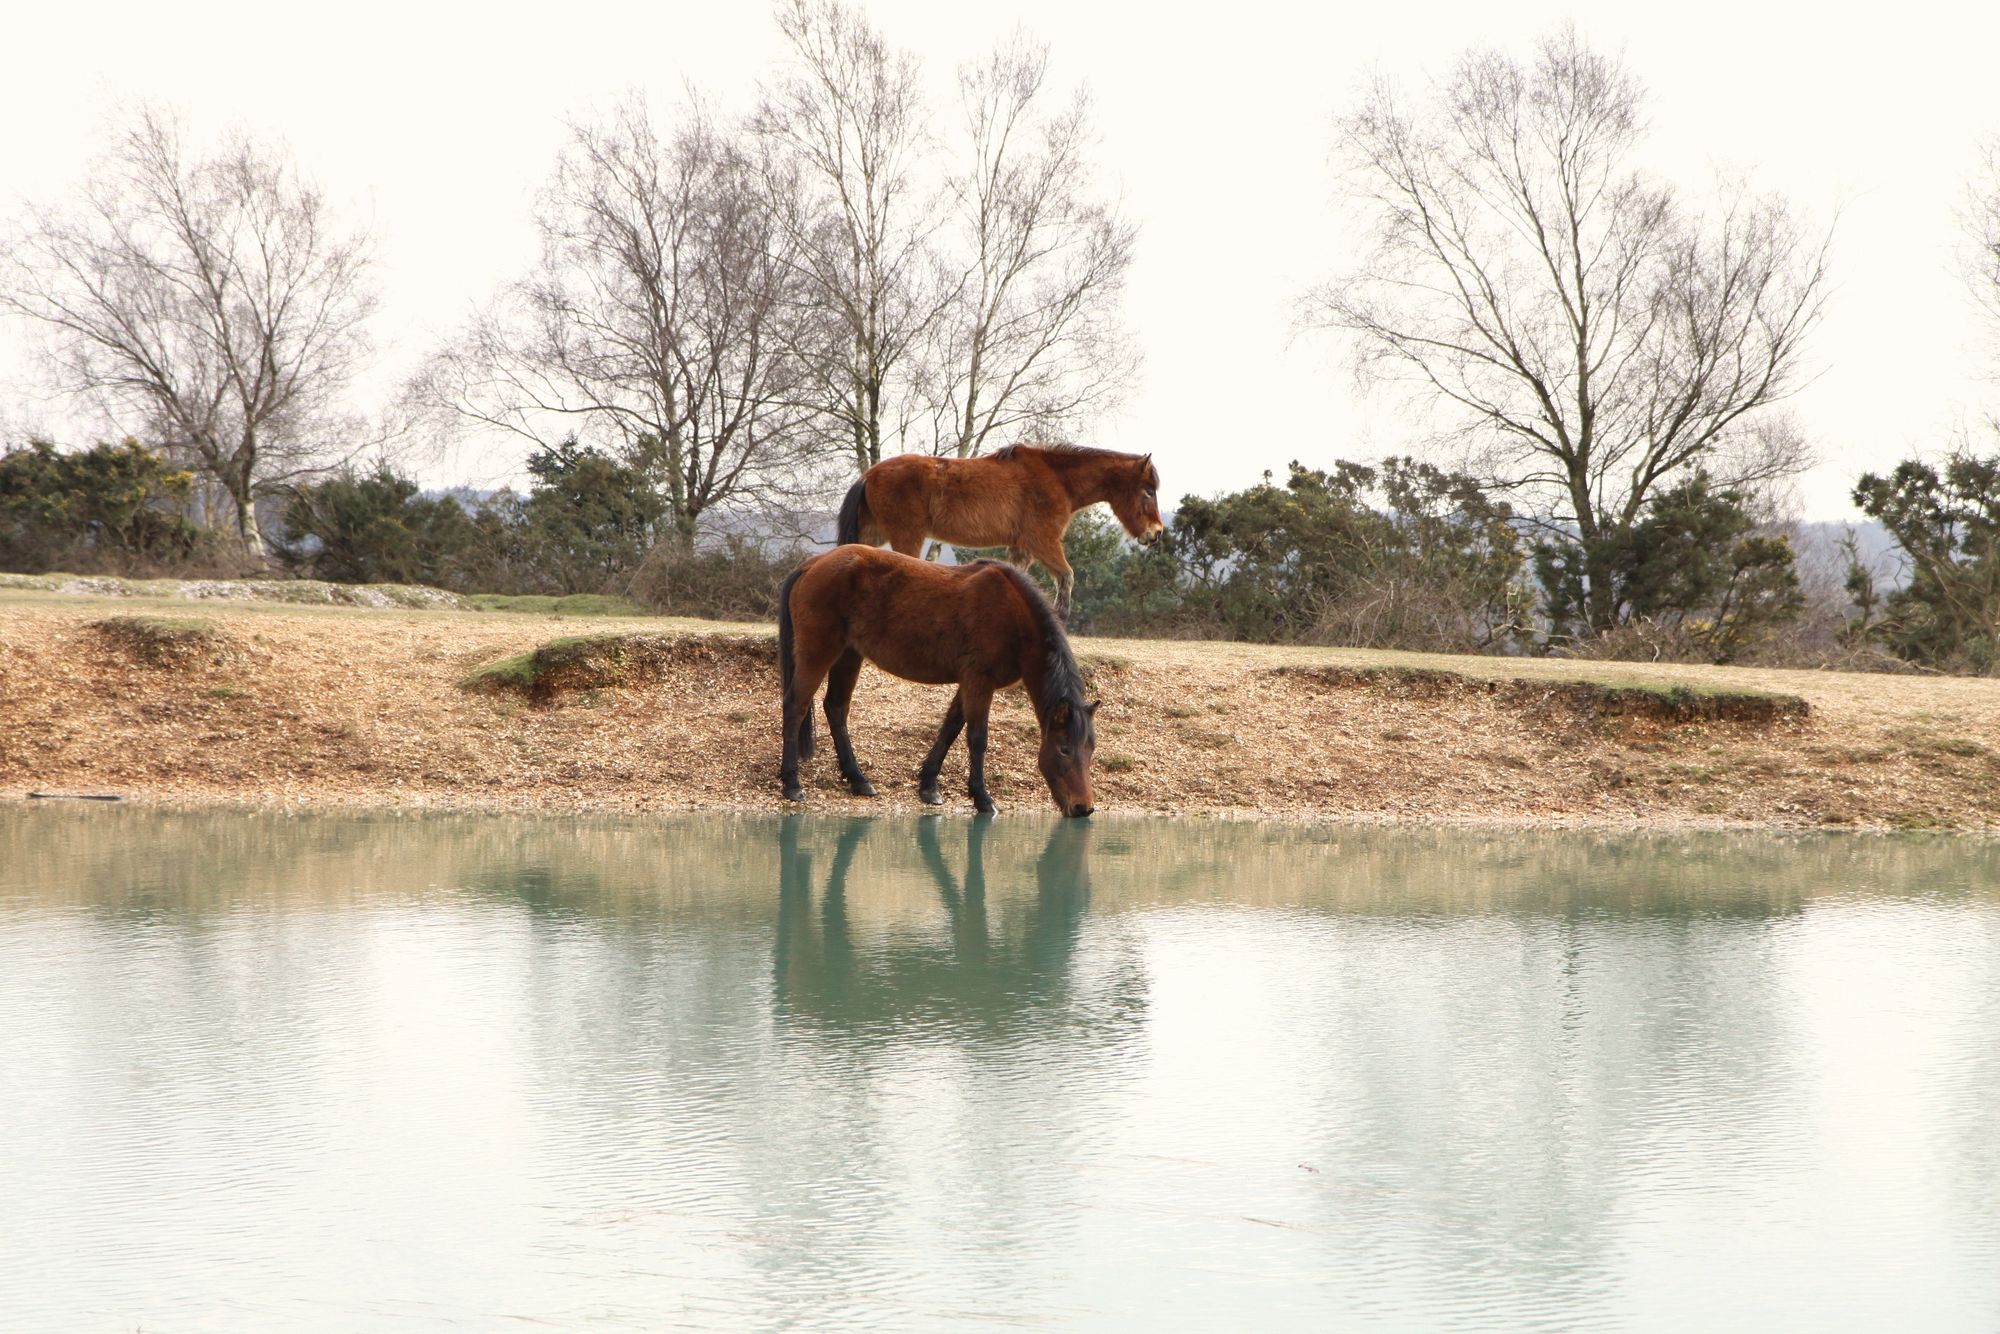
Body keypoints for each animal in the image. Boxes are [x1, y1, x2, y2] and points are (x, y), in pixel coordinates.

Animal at [776, 540, 1096, 816]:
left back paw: (858, 779)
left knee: (836, 708)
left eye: (1090, 749)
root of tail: (813, 564)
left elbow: (951, 728)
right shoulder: (979, 682)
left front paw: (929, 785)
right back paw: (792, 782)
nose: (1084, 808)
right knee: (796, 705)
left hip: (848, 656)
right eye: (1064, 749)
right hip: (819, 652)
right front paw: (982, 797)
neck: (1012, 614)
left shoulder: (969, 684)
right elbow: (977, 738)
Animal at [832, 446, 1168, 620]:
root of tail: (869, 474)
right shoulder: (1044, 541)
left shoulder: (1023, 548)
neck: (1057, 478)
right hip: (906, 535)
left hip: (873, 533)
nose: (1156, 533)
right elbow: (1067, 575)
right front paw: (1061, 617)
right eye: (1148, 491)